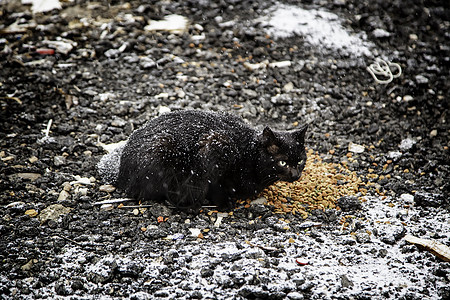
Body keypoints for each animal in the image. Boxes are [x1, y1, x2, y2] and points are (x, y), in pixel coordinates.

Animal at [114, 109, 308, 210]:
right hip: (164, 148)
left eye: (300, 162)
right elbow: (215, 182)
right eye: (282, 162)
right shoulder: (215, 147)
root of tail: (121, 176)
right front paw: (225, 203)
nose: (295, 175)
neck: (250, 155)